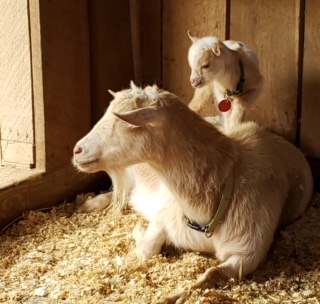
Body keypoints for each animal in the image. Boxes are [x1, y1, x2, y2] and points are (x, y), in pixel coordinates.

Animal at [72, 82, 312, 292]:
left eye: (124, 122)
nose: (77, 150)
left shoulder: (249, 252)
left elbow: (210, 274)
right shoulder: (165, 216)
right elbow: (146, 250)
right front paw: (139, 231)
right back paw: (90, 204)